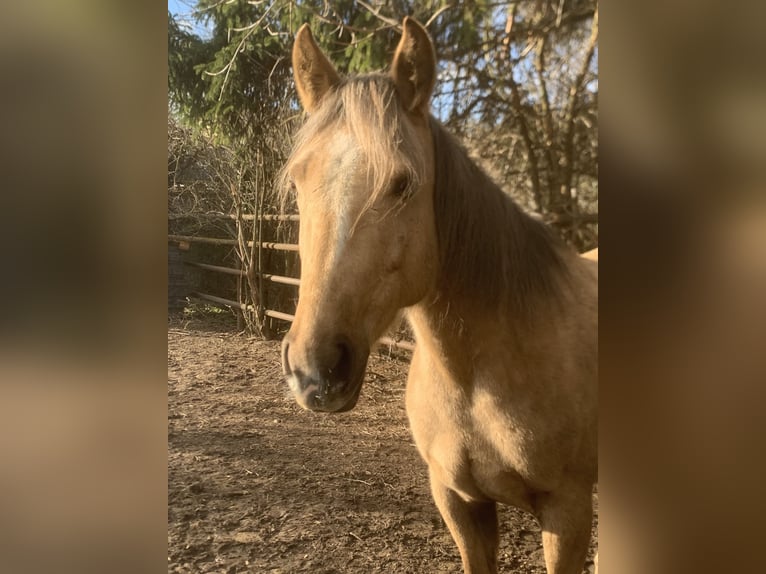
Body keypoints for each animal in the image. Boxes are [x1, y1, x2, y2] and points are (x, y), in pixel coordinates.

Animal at [280, 17, 598, 574]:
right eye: (297, 182)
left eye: (403, 184)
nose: (314, 370)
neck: (475, 378)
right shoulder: (457, 500)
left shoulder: (568, 512)